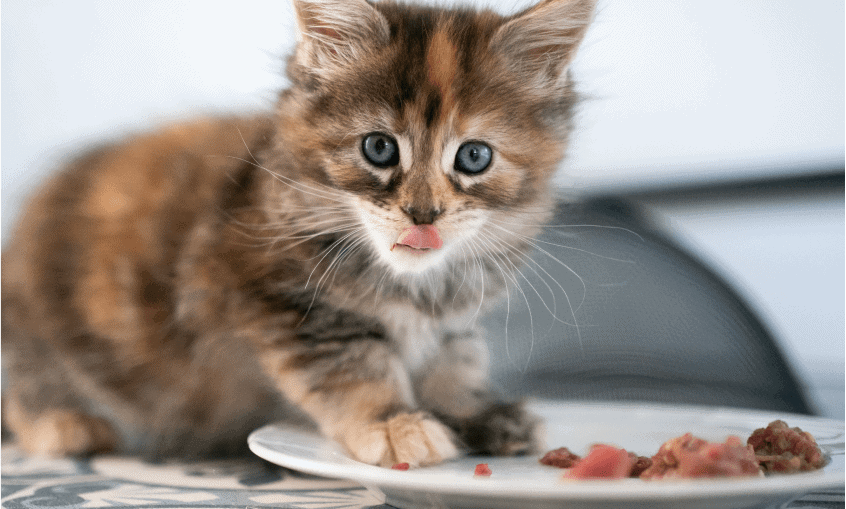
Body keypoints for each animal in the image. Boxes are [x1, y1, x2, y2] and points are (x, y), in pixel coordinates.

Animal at [1, 0, 596, 464]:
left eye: (474, 157)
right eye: (379, 148)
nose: (423, 213)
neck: (416, 286)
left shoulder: (453, 322)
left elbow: (455, 362)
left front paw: (478, 412)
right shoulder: (289, 307)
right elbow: (355, 369)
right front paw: (393, 423)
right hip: (34, 322)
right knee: (26, 381)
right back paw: (64, 423)